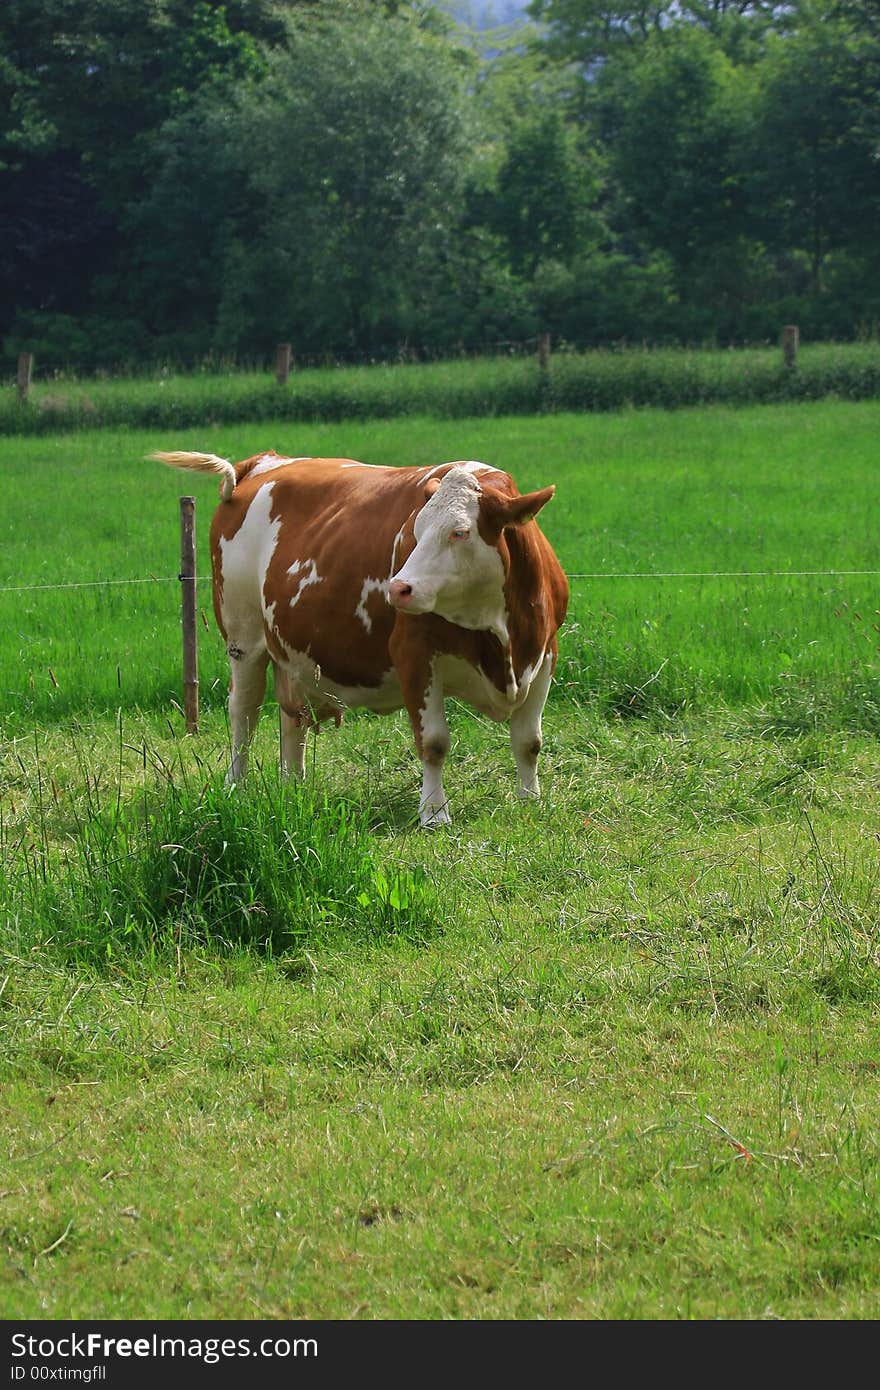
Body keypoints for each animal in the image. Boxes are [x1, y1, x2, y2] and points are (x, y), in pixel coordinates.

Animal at [147, 450, 567, 822]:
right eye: (415, 531)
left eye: (460, 532)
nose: (399, 588)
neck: (500, 635)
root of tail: (262, 462)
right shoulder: (414, 655)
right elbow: (434, 742)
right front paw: (434, 813)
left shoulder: (545, 653)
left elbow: (529, 741)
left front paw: (530, 799)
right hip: (243, 636)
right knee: (243, 714)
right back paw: (235, 785)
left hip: (291, 655)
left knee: (291, 718)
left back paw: (293, 787)